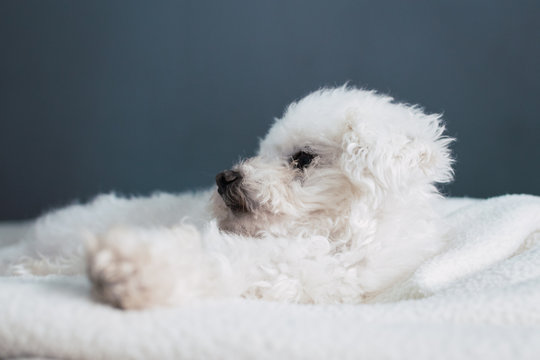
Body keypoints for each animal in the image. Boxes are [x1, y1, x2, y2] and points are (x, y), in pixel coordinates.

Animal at [2, 86, 454, 308]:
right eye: (263, 151)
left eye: (303, 158)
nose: (224, 178)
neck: (330, 233)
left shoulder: (298, 273)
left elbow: (214, 263)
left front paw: (130, 270)